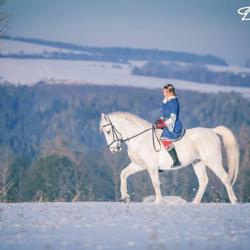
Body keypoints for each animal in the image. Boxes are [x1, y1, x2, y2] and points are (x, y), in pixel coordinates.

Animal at [98, 111, 239, 203]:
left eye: (108, 131)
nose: (114, 149)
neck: (139, 139)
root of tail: (212, 131)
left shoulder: (151, 167)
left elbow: (155, 183)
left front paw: (159, 201)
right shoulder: (138, 165)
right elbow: (123, 174)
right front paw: (125, 197)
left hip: (213, 161)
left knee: (225, 178)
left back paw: (233, 200)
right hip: (198, 163)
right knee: (203, 181)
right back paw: (194, 203)